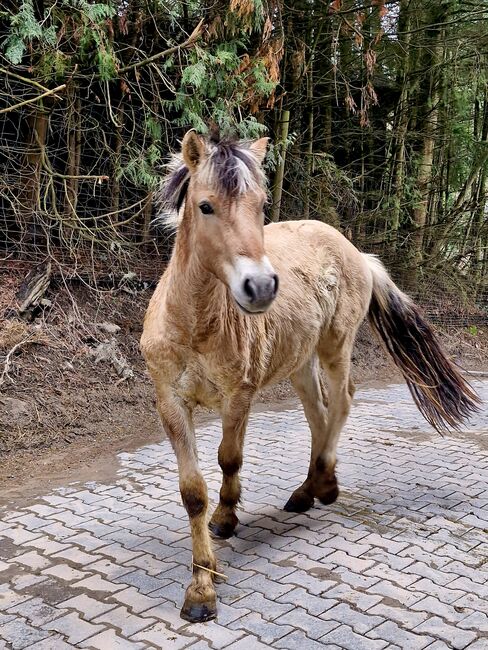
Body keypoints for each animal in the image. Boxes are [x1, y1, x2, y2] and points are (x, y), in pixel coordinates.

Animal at [140, 130, 479, 623]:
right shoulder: (170, 403)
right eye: (205, 206)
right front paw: (202, 584)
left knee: (341, 402)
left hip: (335, 348)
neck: (195, 323)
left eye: (261, 205)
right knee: (319, 413)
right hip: (300, 362)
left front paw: (225, 521)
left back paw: (323, 484)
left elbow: (229, 460)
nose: (261, 287)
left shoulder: (238, 396)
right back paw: (308, 489)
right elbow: (192, 493)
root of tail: (356, 252)